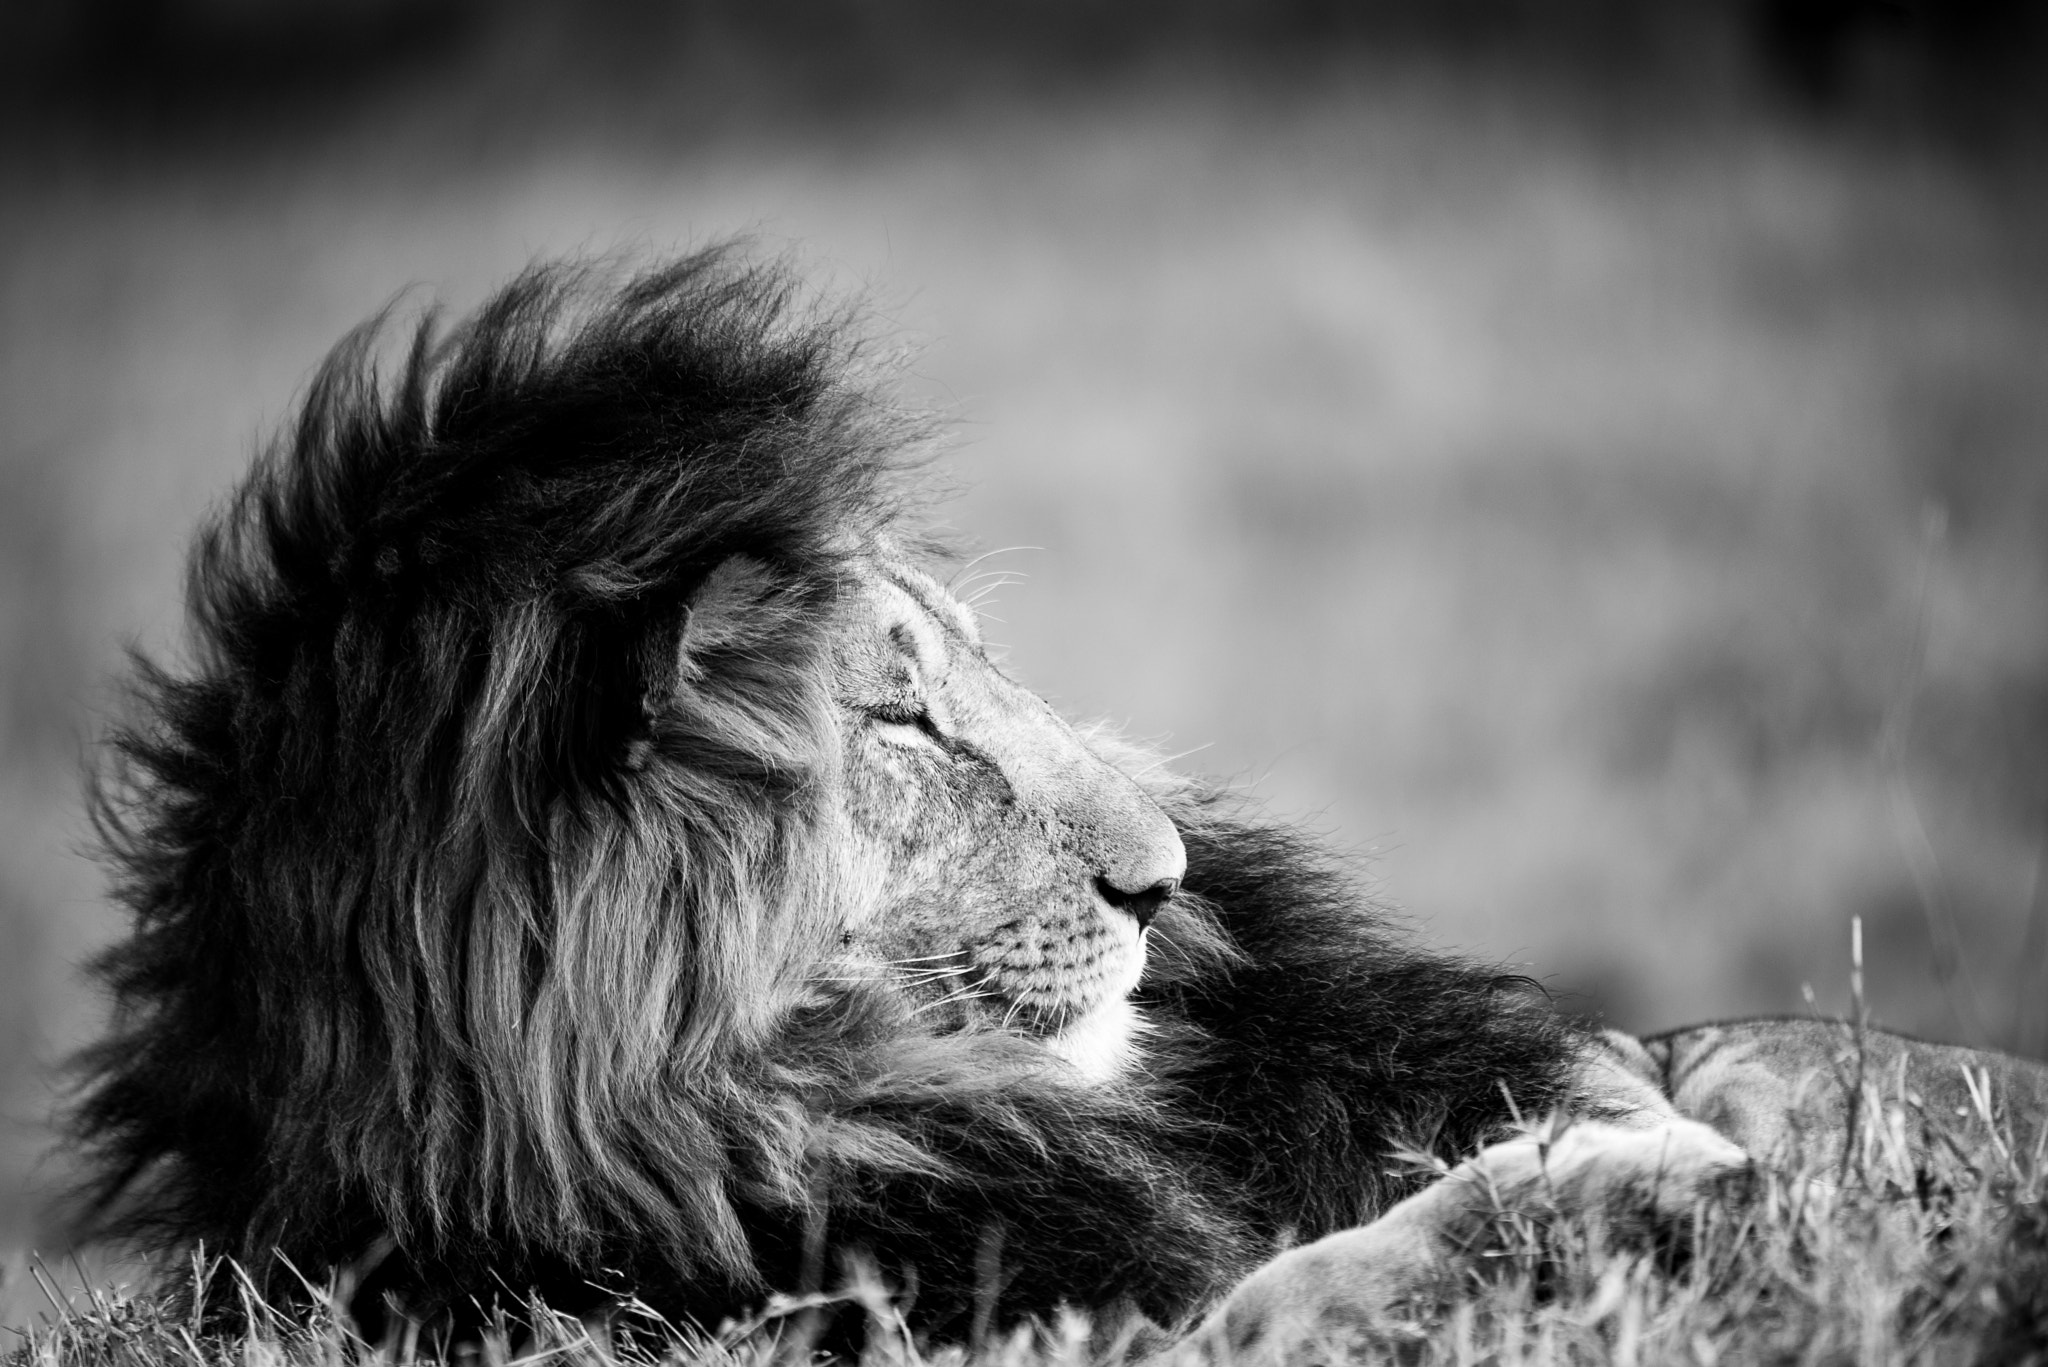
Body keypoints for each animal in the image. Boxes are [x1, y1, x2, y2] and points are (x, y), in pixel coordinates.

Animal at [75, 249, 2048, 1360]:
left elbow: (1702, 1053)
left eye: (974, 674)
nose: (1162, 885)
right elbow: (1318, 1282)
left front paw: (1759, 1120)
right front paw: (1639, 1192)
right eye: (898, 719)